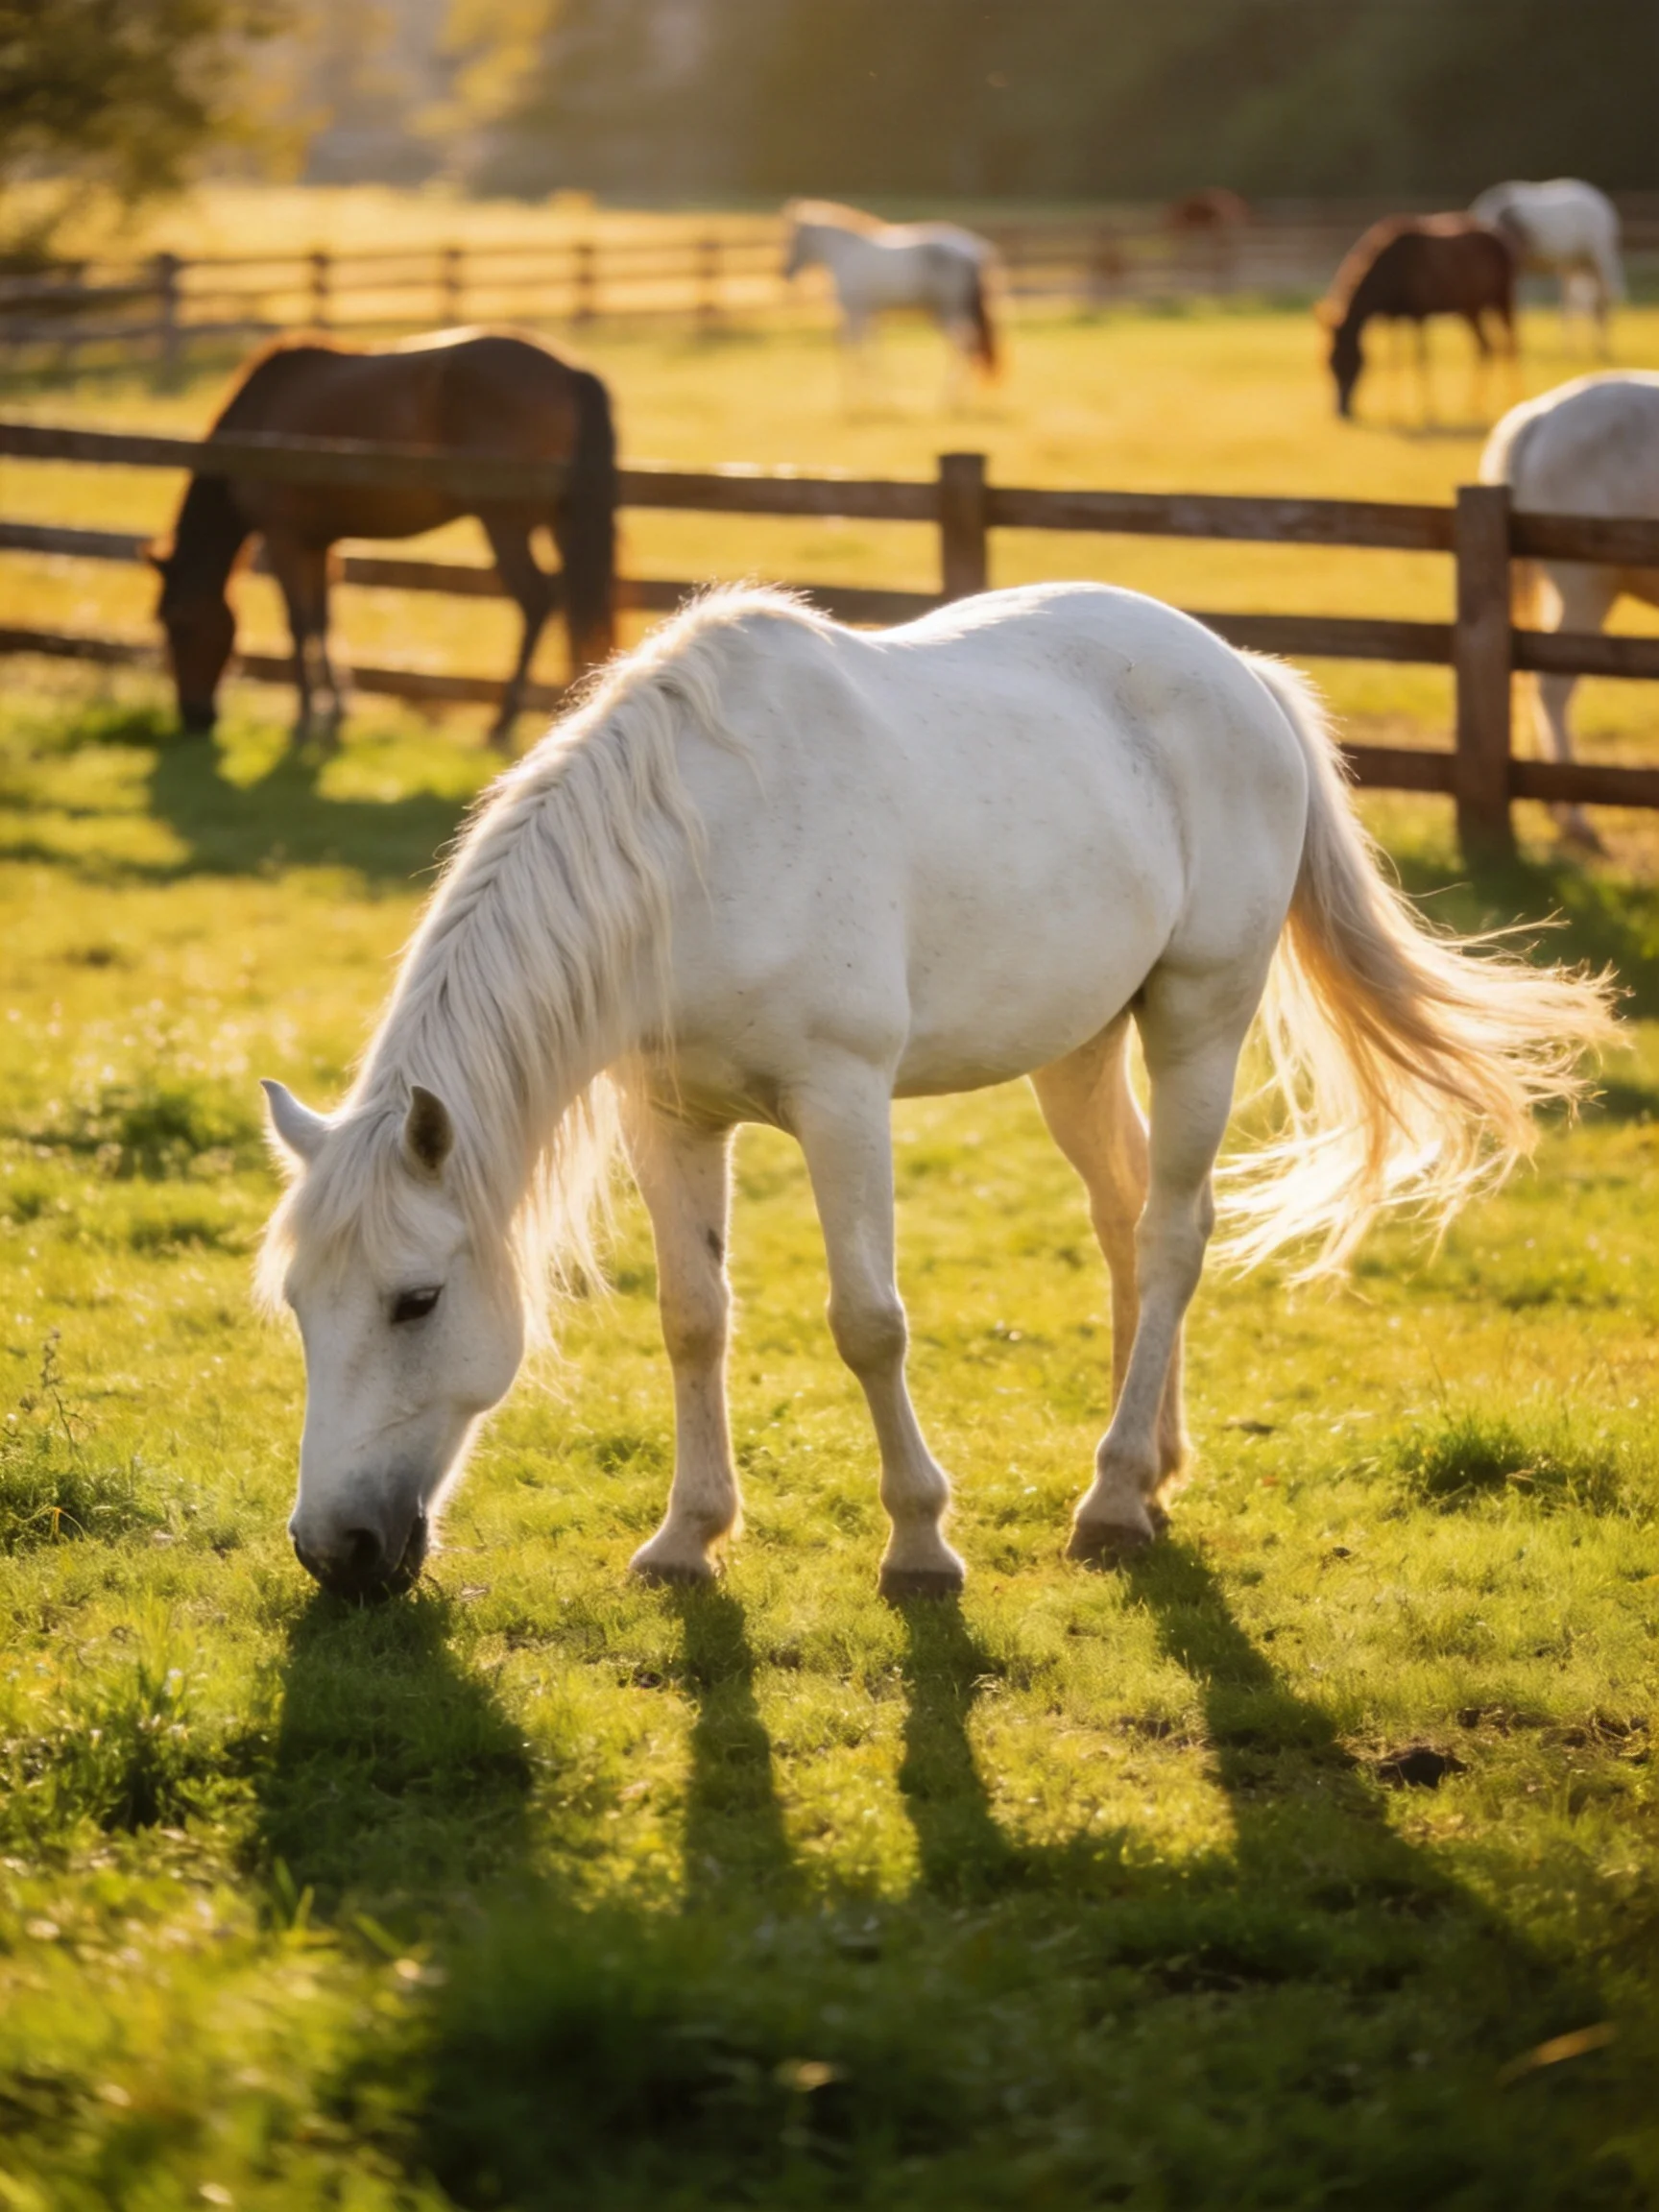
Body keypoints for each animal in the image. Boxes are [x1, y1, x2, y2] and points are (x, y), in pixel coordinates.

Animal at [148, 329, 617, 747]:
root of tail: (569, 371)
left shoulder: (283, 538)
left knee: (537, 601)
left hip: (503, 521)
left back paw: (501, 725)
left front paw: (305, 720)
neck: (258, 419)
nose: (195, 717)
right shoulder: (320, 542)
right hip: (559, 521)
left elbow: (298, 624)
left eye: (179, 625)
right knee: (572, 602)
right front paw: (336, 712)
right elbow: (322, 619)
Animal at [256, 581, 1611, 1604]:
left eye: (417, 1301)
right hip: (1078, 1046)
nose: (335, 1552)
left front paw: (919, 1545)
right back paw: (1153, 1466)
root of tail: (1241, 673)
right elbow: (693, 1319)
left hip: (1200, 1018)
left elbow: (869, 1322)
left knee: (1177, 1229)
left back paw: (1111, 1501)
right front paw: (687, 1538)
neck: (699, 851)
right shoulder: (671, 1116)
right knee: (1126, 1218)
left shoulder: (842, 1100)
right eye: (299, 1306)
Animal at [781, 200, 998, 405]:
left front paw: (852, 398)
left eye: (793, 240)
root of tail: (975, 250)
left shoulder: (855, 311)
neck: (845, 254)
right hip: (947, 311)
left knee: (964, 346)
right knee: (969, 347)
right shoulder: (870, 314)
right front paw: (877, 396)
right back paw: (961, 397)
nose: (785, 271)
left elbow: (852, 349)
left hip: (948, 311)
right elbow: (872, 350)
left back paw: (950, 398)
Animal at [1318, 216, 1516, 422]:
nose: (1341, 410)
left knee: (1511, 345)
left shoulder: (1419, 313)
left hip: (1502, 296)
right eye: (1328, 361)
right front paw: (1394, 409)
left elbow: (1421, 357)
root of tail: (1500, 239)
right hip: (1470, 308)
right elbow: (1393, 359)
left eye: (1345, 359)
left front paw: (1429, 410)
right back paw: (1473, 404)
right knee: (1485, 346)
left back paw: (1511, 398)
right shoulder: (1393, 317)